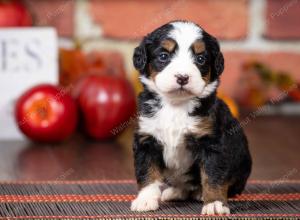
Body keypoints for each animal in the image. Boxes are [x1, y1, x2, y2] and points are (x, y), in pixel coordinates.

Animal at [131, 21, 251, 215]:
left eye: (200, 59)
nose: (182, 77)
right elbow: (147, 172)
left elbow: (213, 176)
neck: (175, 105)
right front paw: (145, 200)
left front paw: (214, 203)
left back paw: (200, 194)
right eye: (163, 56)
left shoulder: (212, 142)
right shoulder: (147, 139)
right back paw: (174, 192)